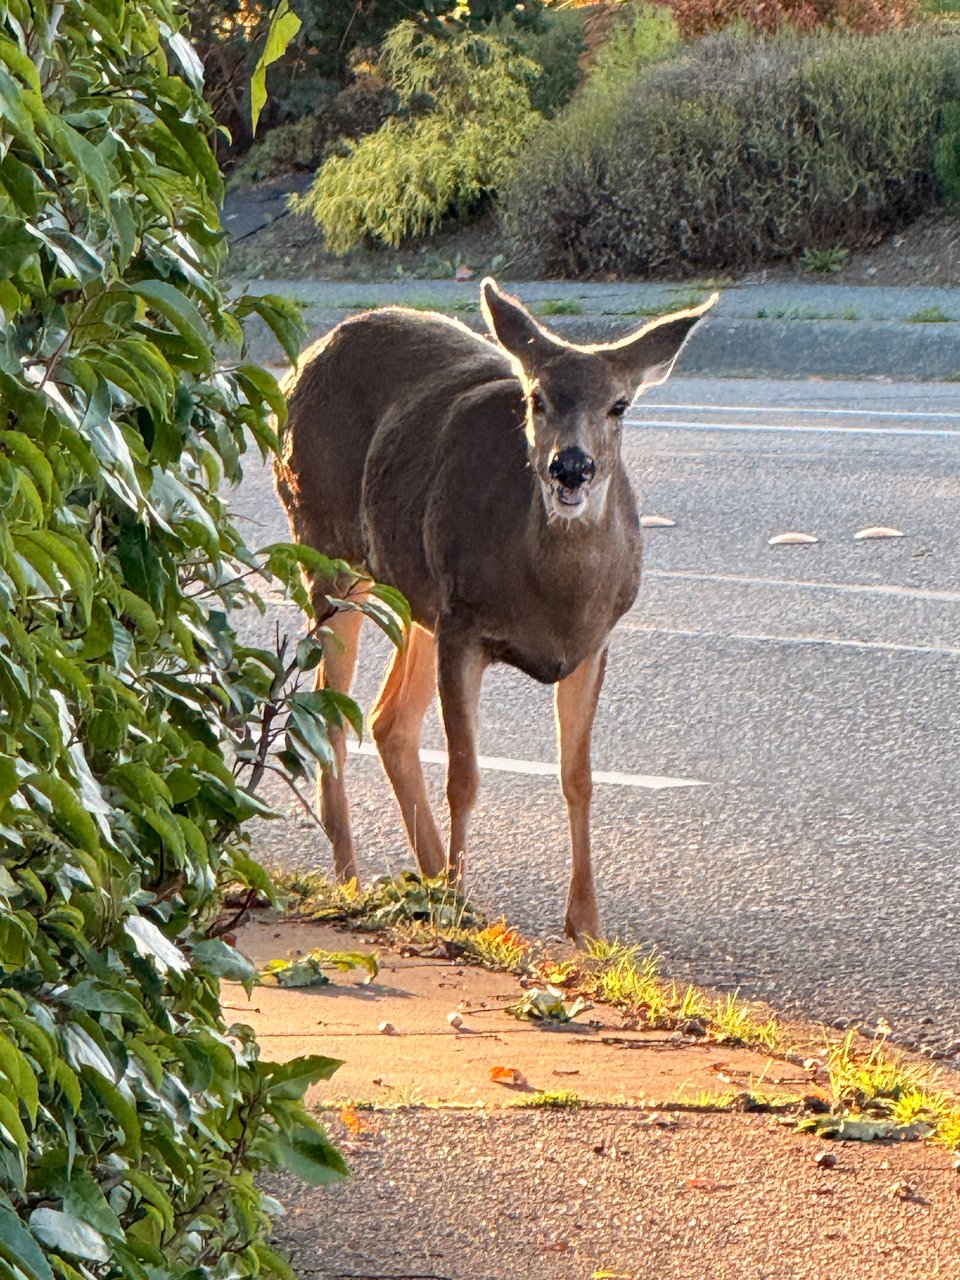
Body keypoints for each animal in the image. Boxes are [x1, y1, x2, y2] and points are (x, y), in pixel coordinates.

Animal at [274, 279, 717, 941]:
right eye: (536, 398)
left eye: (620, 405)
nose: (571, 467)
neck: (553, 598)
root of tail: (305, 358)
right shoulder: (465, 626)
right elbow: (465, 775)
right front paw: (460, 902)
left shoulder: (592, 644)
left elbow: (578, 777)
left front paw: (586, 925)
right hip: (327, 548)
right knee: (331, 714)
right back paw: (360, 877)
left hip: (416, 592)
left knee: (387, 720)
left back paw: (432, 879)